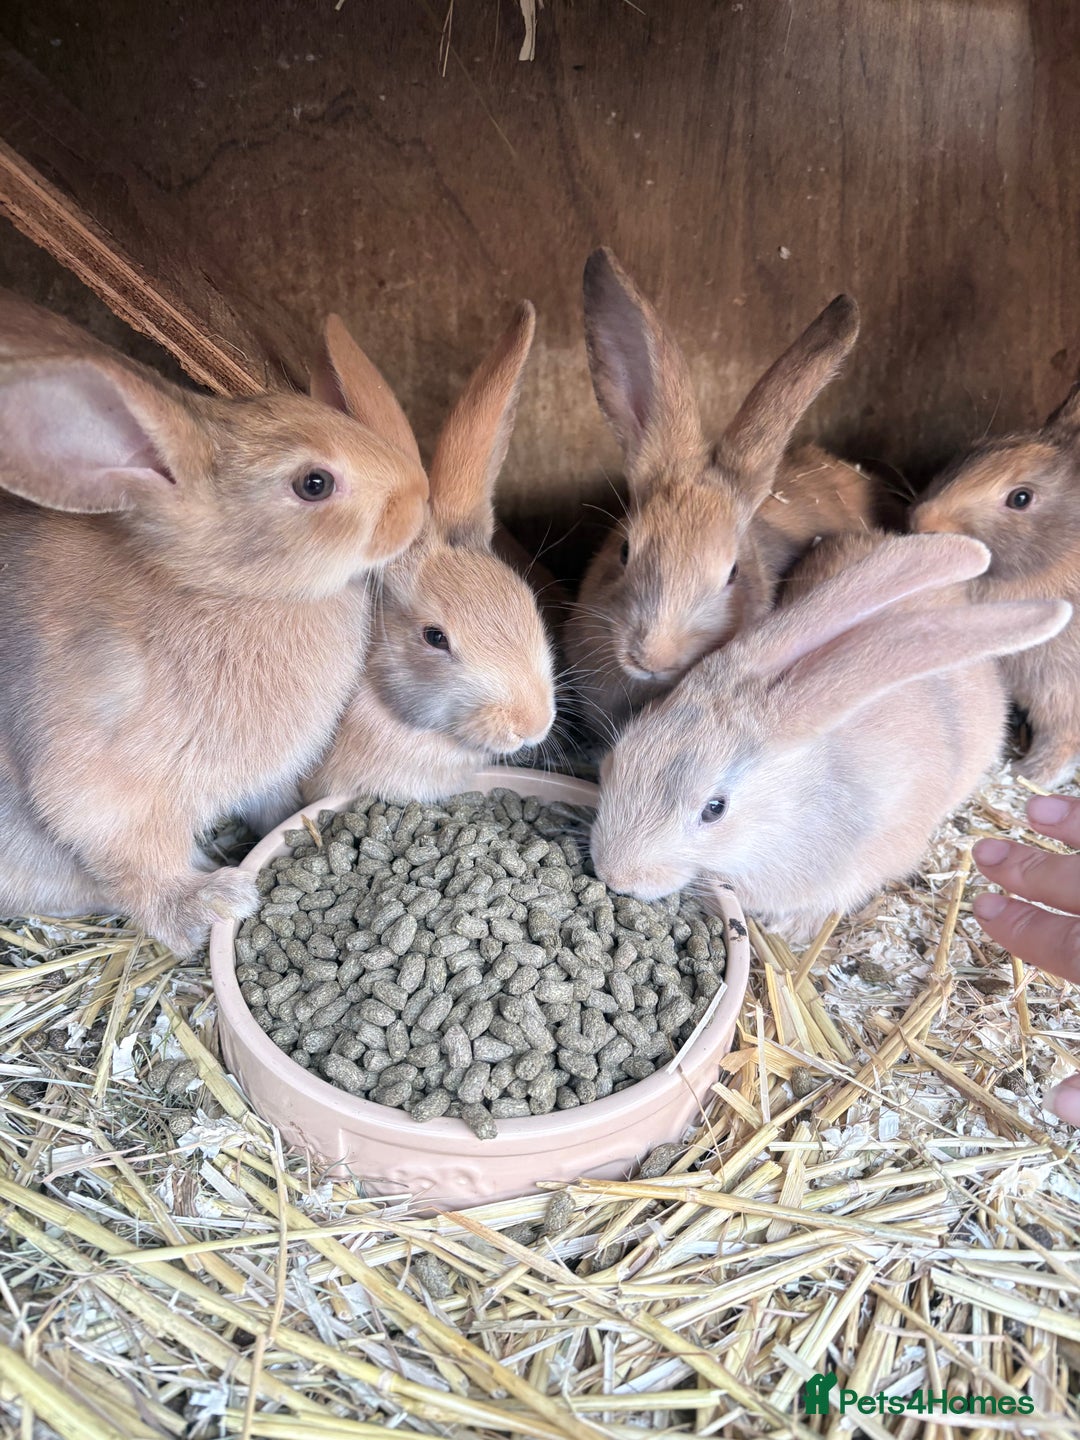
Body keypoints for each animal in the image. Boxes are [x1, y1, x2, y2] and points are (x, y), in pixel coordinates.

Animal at [0, 289, 428, 955]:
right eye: (314, 483)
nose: (420, 497)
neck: (224, 588)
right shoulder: (99, 785)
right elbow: (135, 860)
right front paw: (211, 905)